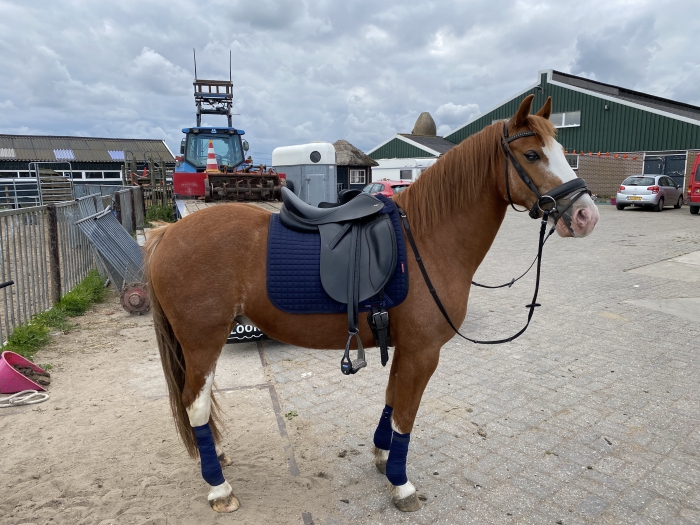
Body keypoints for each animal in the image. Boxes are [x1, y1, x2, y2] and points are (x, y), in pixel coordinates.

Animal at [144, 94, 599, 513]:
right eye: (532, 154)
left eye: (561, 150)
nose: (586, 216)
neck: (427, 240)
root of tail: (168, 233)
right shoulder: (423, 351)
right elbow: (406, 414)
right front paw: (401, 483)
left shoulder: (405, 347)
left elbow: (393, 399)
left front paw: (382, 455)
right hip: (203, 342)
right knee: (195, 405)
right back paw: (219, 487)